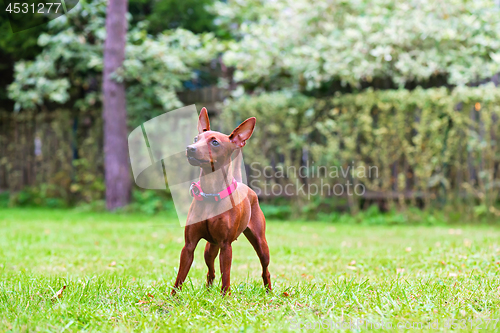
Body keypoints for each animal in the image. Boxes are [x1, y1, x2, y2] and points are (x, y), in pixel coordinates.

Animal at [172, 107, 274, 294]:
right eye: (196, 139)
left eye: (215, 143)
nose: (190, 148)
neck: (210, 194)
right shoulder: (189, 246)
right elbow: (180, 277)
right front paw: (173, 297)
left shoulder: (226, 246)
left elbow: (226, 274)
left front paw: (225, 296)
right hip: (210, 248)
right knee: (210, 271)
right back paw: (208, 290)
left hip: (261, 245)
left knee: (265, 270)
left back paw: (269, 292)